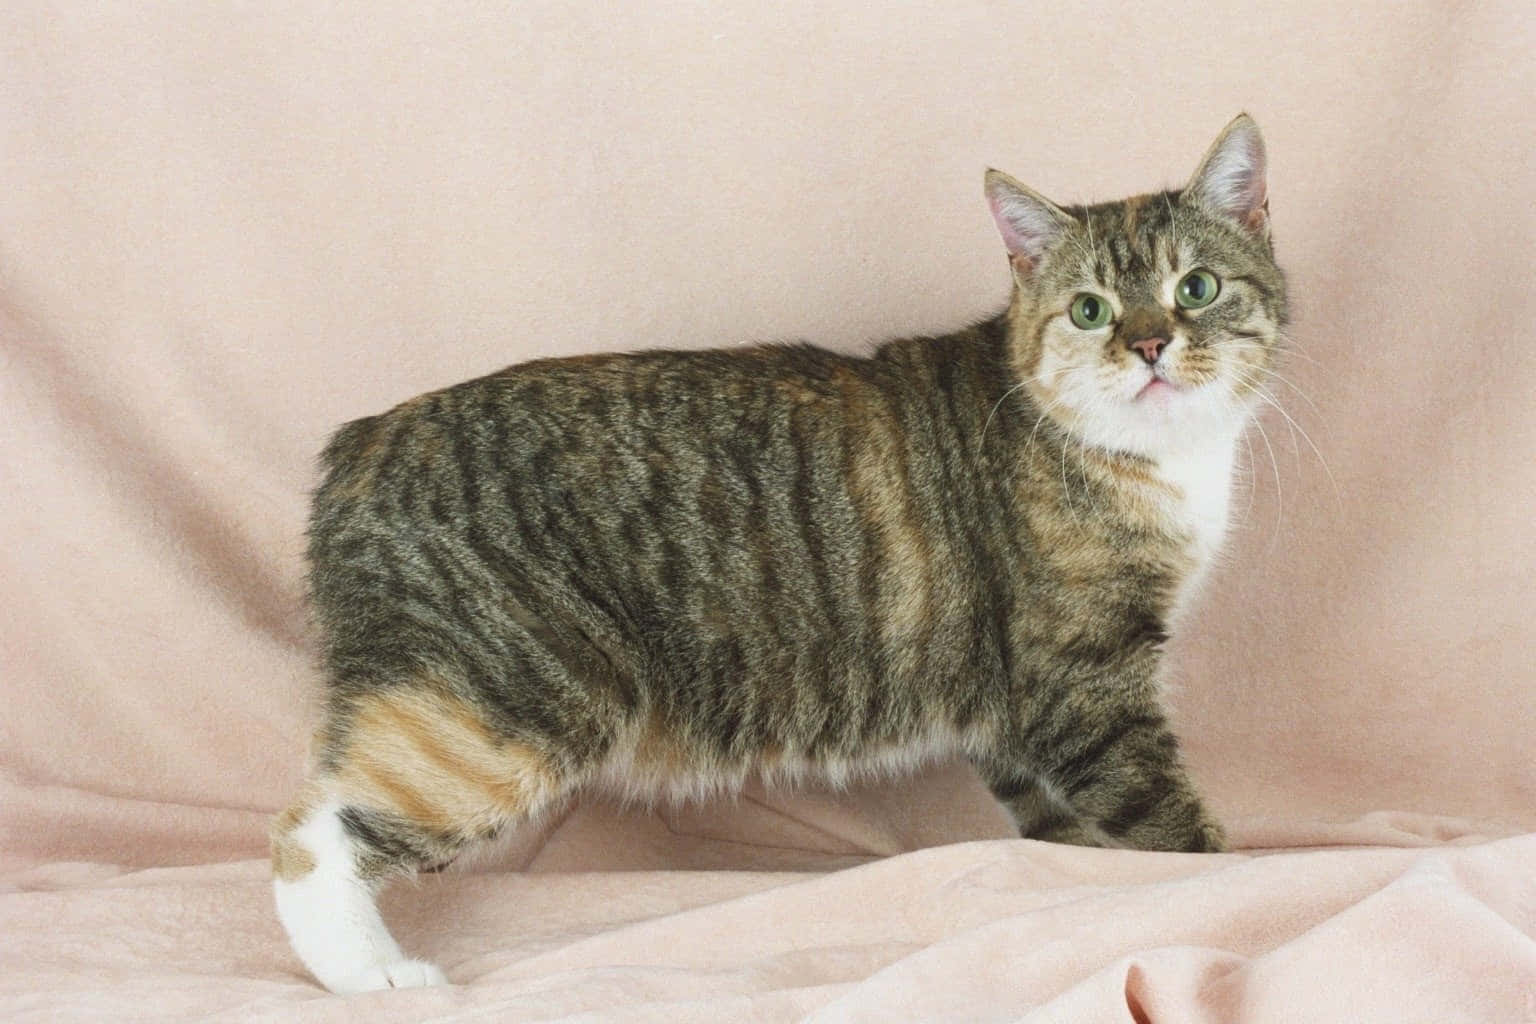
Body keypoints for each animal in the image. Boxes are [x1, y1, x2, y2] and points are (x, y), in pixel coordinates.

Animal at [273, 114, 1284, 994]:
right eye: (1089, 310)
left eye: (1196, 288)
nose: (1149, 343)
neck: (1147, 457)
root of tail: (362, 443)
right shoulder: (1083, 682)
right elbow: (1160, 815)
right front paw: (1217, 880)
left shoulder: (1013, 709)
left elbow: (1060, 828)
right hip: (506, 702)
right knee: (307, 835)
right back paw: (371, 972)